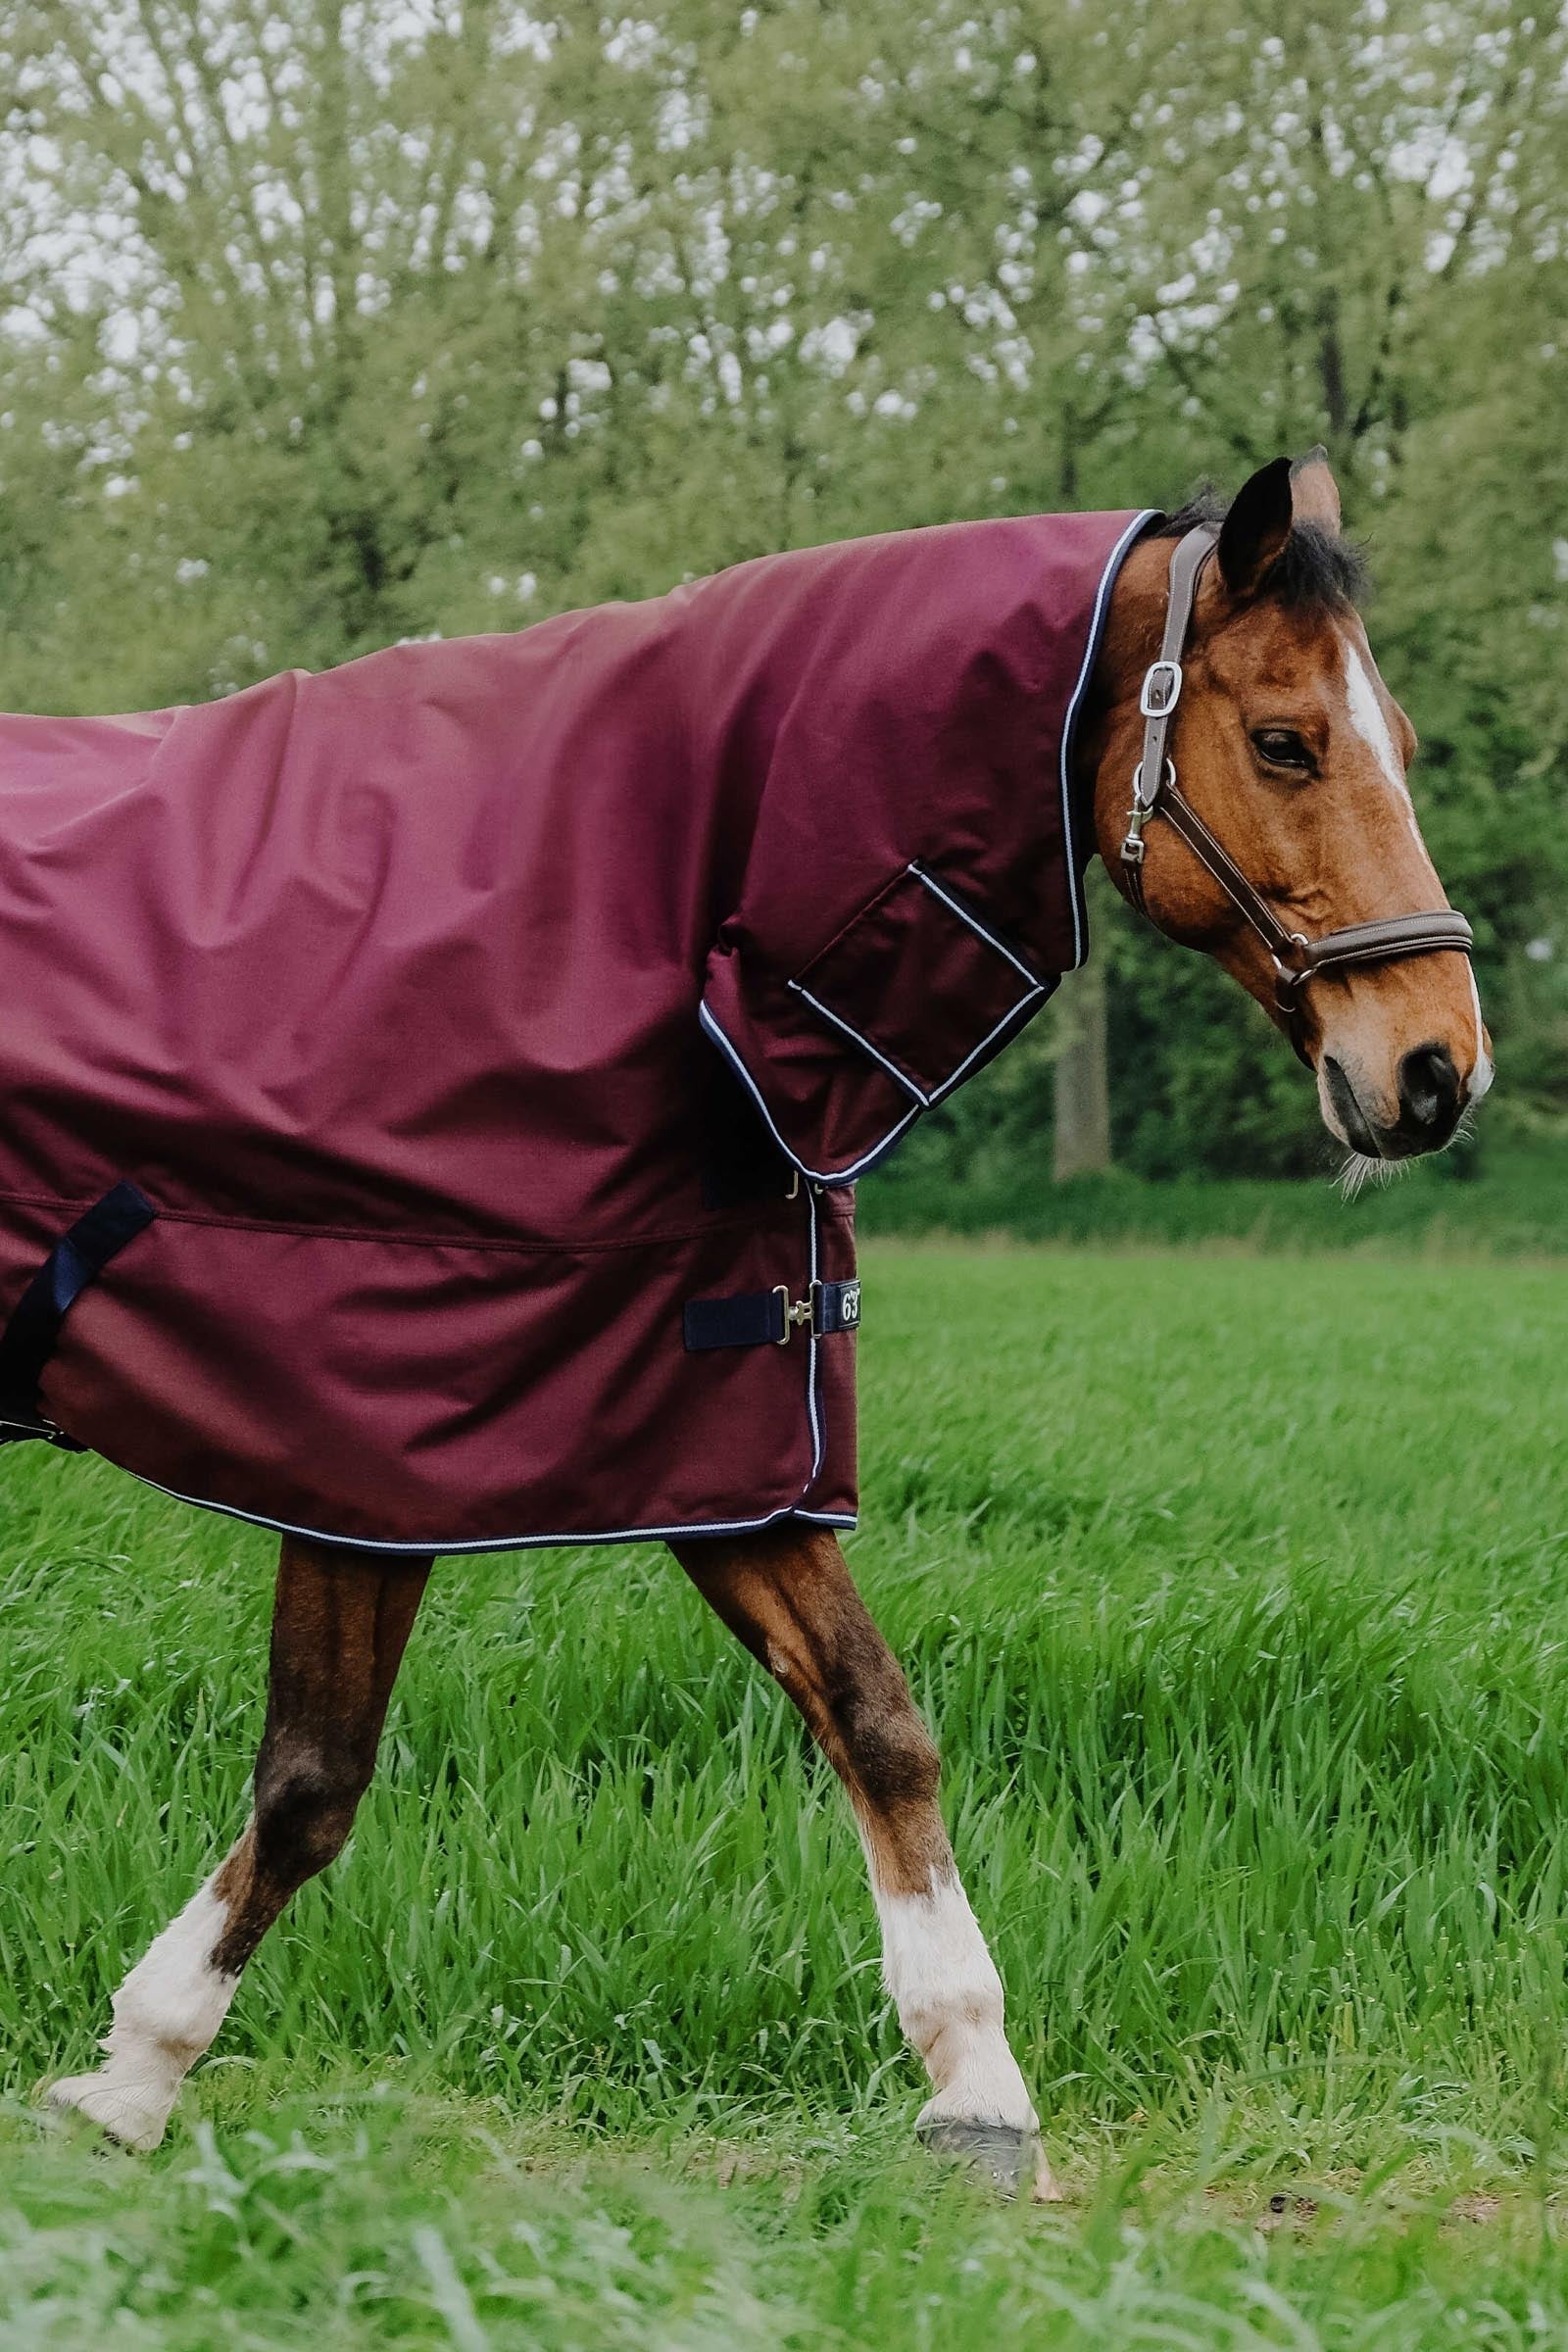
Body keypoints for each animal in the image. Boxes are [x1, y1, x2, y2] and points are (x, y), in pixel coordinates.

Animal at [33, 453, 1488, 2197]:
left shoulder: (720, 1416)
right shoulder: (371, 1434)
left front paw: (980, 2091)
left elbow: (877, 1723)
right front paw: (131, 2079)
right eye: (1285, 740)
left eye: (1403, 740)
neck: (618, 906)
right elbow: (315, 1779)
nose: (1438, 1068)